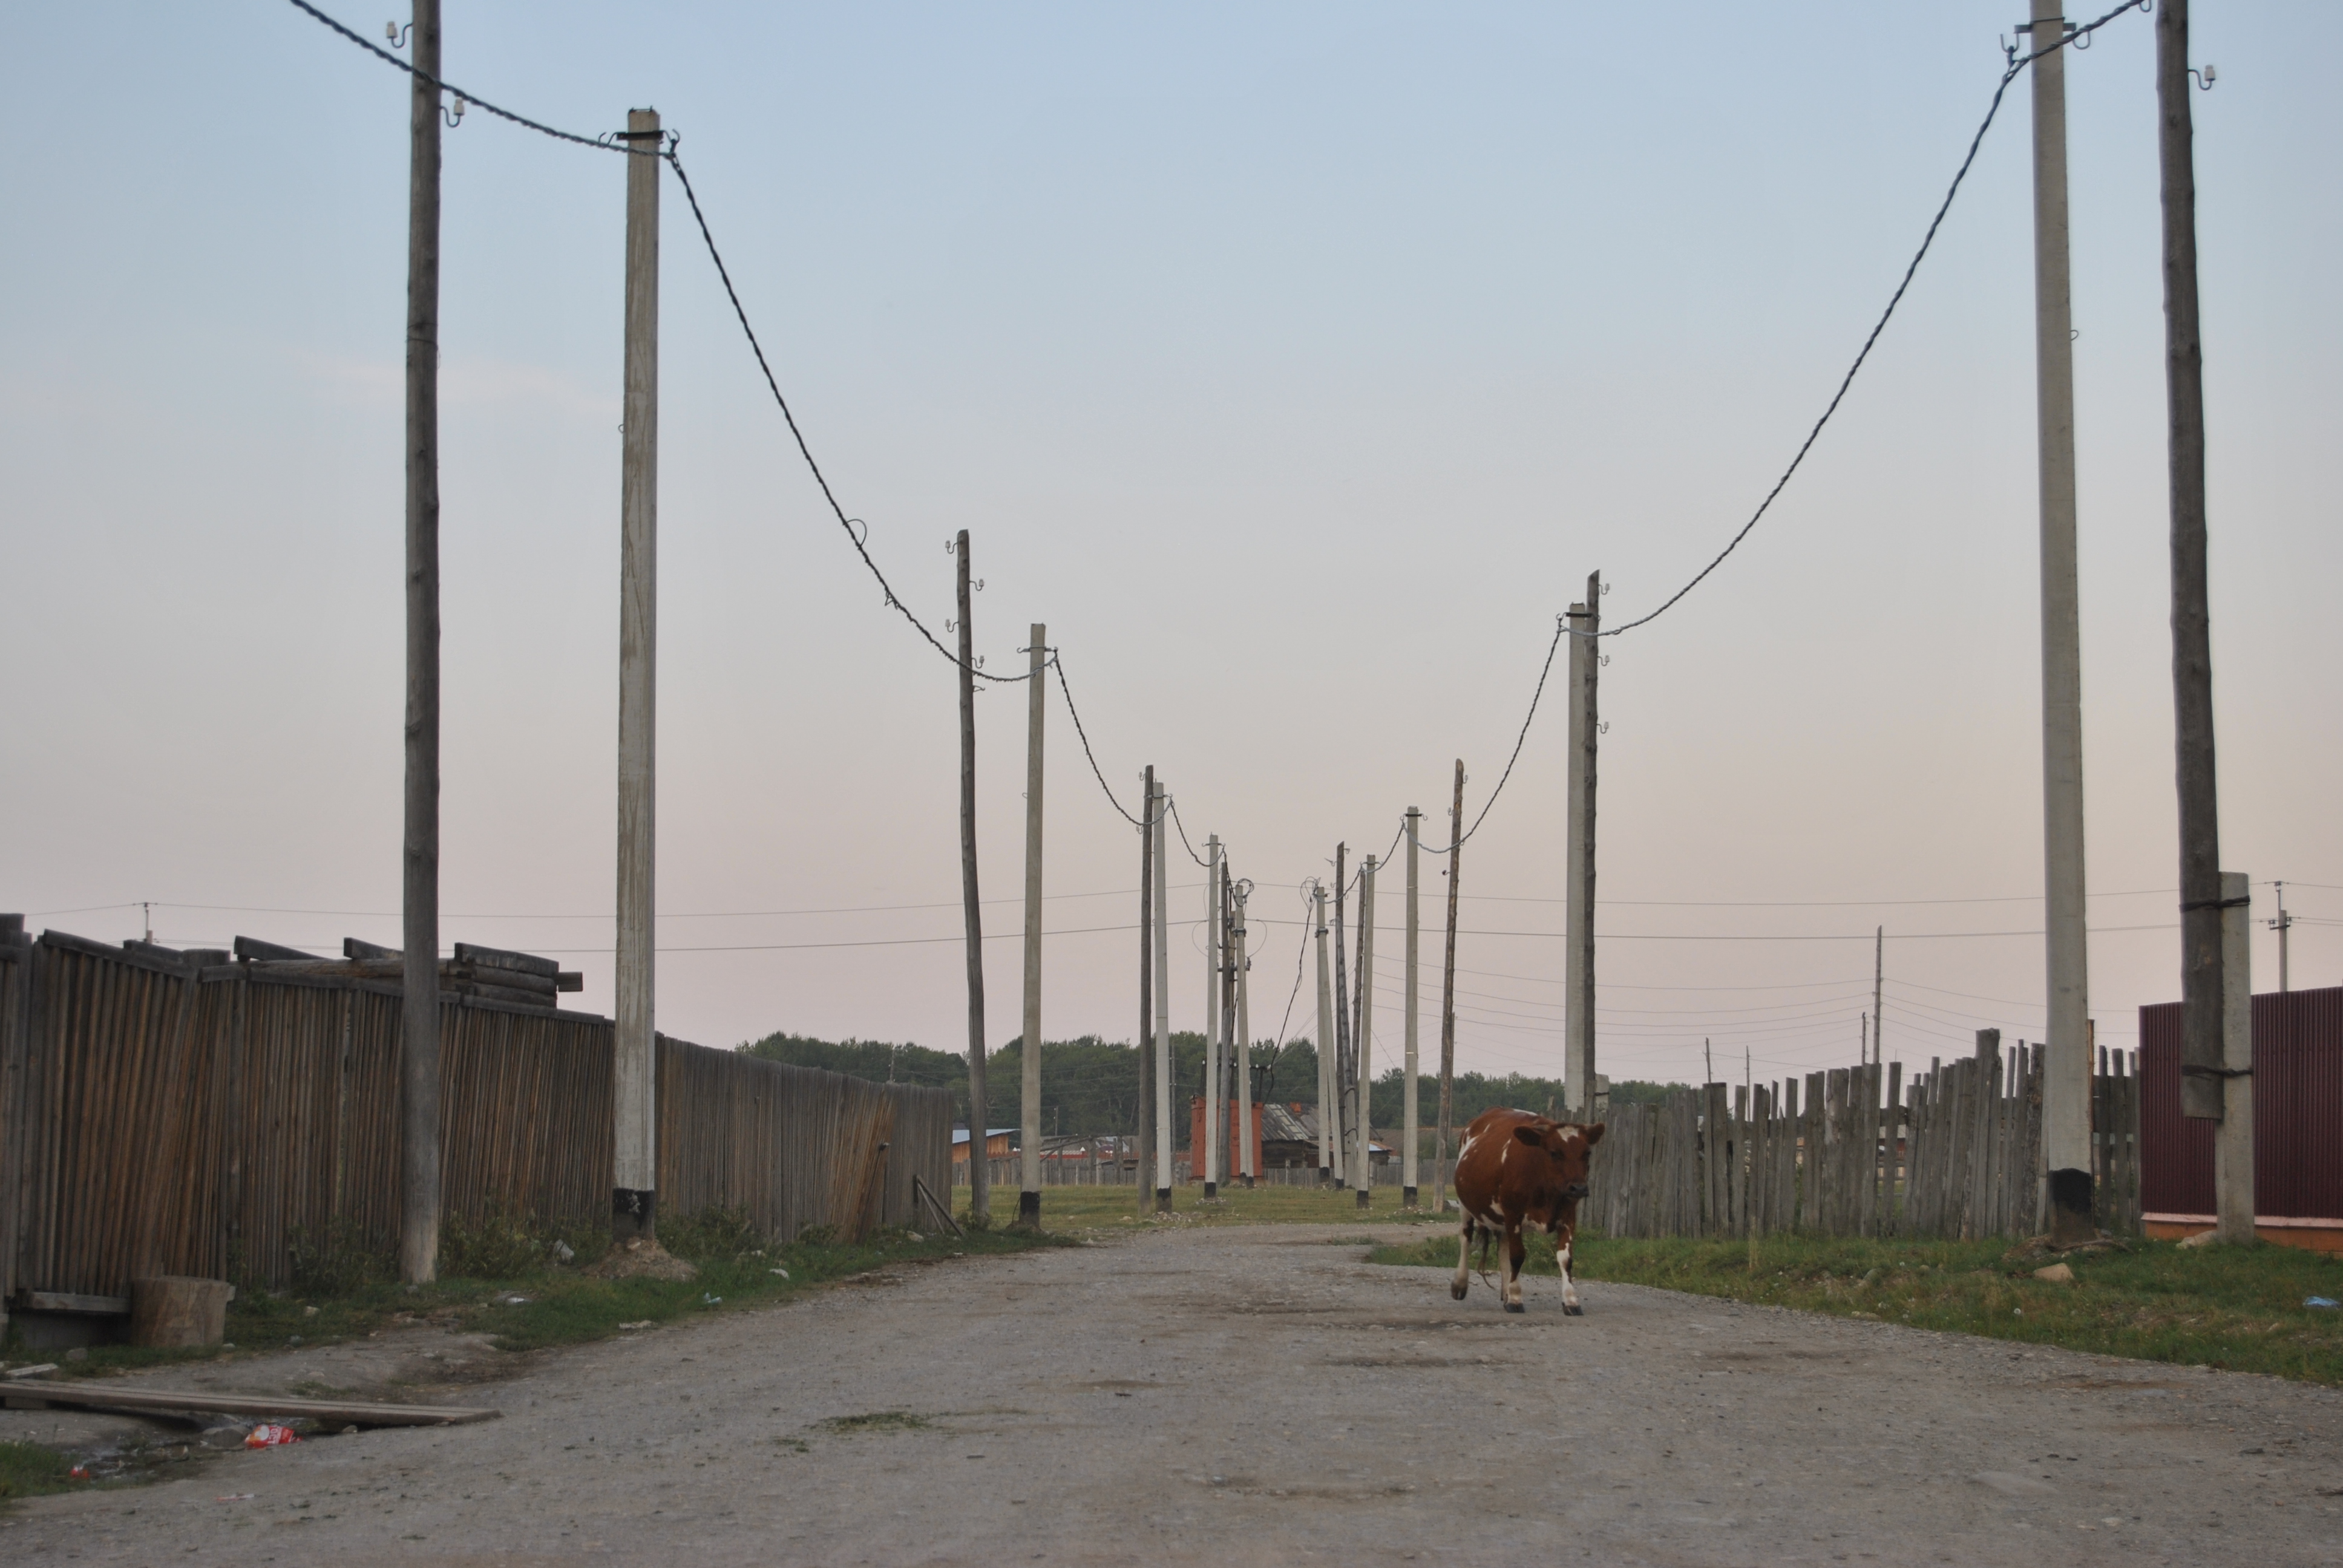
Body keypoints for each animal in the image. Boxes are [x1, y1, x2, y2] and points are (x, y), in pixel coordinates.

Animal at [1449, 1108, 1605, 1314]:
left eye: (1587, 1153)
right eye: (1554, 1153)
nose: (1579, 1188)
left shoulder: (1568, 1216)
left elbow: (1566, 1259)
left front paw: (1571, 1301)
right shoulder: (1513, 1214)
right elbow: (1517, 1256)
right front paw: (1516, 1297)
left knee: (1503, 1248)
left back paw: (1506, 1292)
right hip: (1466, 1206)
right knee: (1466, 1238)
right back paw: (1460, 1284)